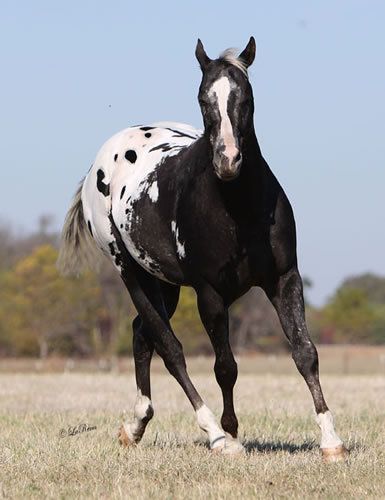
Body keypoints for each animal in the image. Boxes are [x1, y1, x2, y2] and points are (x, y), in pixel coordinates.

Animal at [57, 38, 348, 460]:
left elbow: (305, 352)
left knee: (141, 335)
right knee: (168, 347)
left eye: (247, 96)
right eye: (202, 98)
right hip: (131, 273)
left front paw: (331, 441)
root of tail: (104, 157)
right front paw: (231, 436)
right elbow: (225, 366)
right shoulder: (210, 293)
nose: (228, 160)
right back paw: (211, 431)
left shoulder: (284, 280)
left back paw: (135, 426)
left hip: (165, 284)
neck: (238, 209)